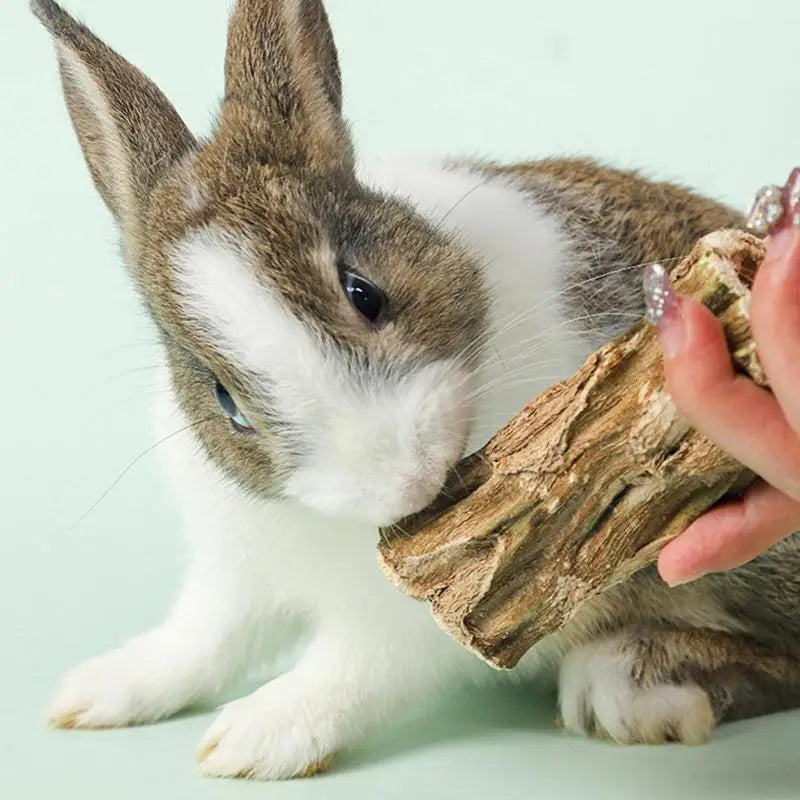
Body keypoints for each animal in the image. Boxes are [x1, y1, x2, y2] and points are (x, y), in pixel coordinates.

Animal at [32, 0, 800, 781]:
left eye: (363, 292)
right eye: (226, 403)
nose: (405, 478)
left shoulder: (432, 612)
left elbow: (349, 670)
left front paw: (252, 738)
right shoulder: (237, 571)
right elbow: (201, 637)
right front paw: (97, 692)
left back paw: (632, 677)